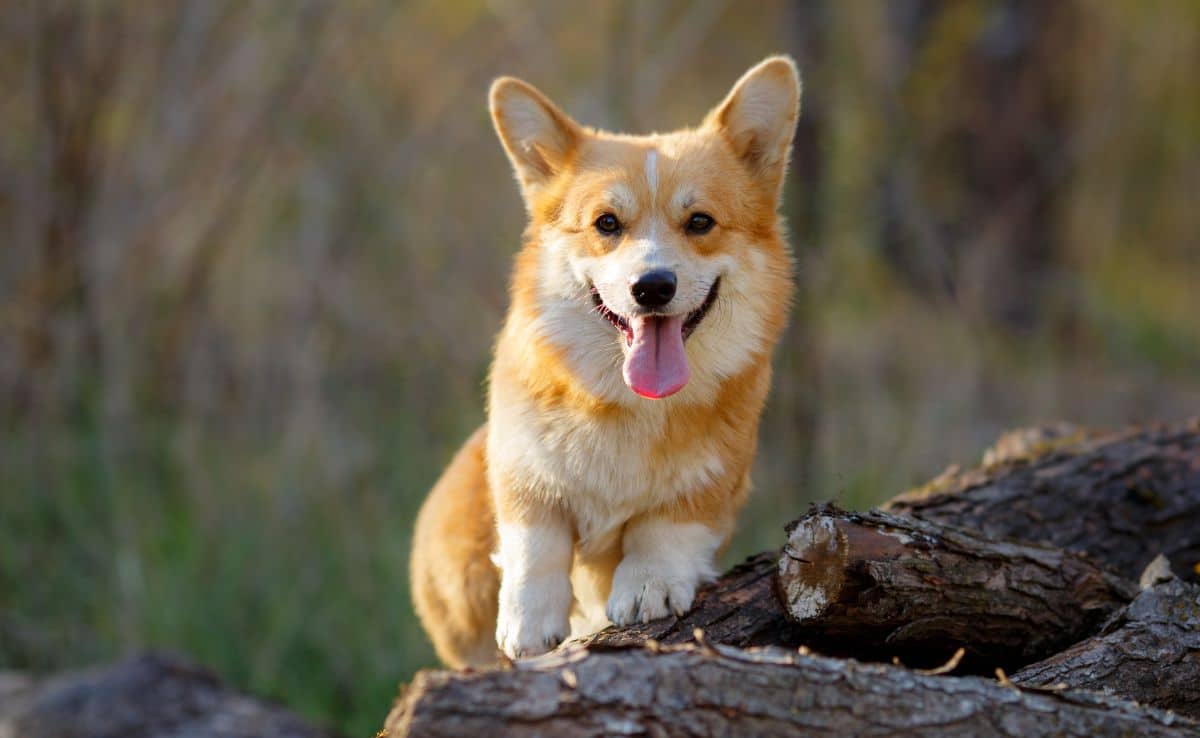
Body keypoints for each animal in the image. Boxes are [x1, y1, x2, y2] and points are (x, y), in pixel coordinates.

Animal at [410, 54, 796, 667]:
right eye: (606, 224)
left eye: (700, 222)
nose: (652, 287)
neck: (627, 402)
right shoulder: (521, 466)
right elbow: (535, 537)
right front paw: (528, 621)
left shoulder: (714, 481)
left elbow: (665, 527)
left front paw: (647, 585)